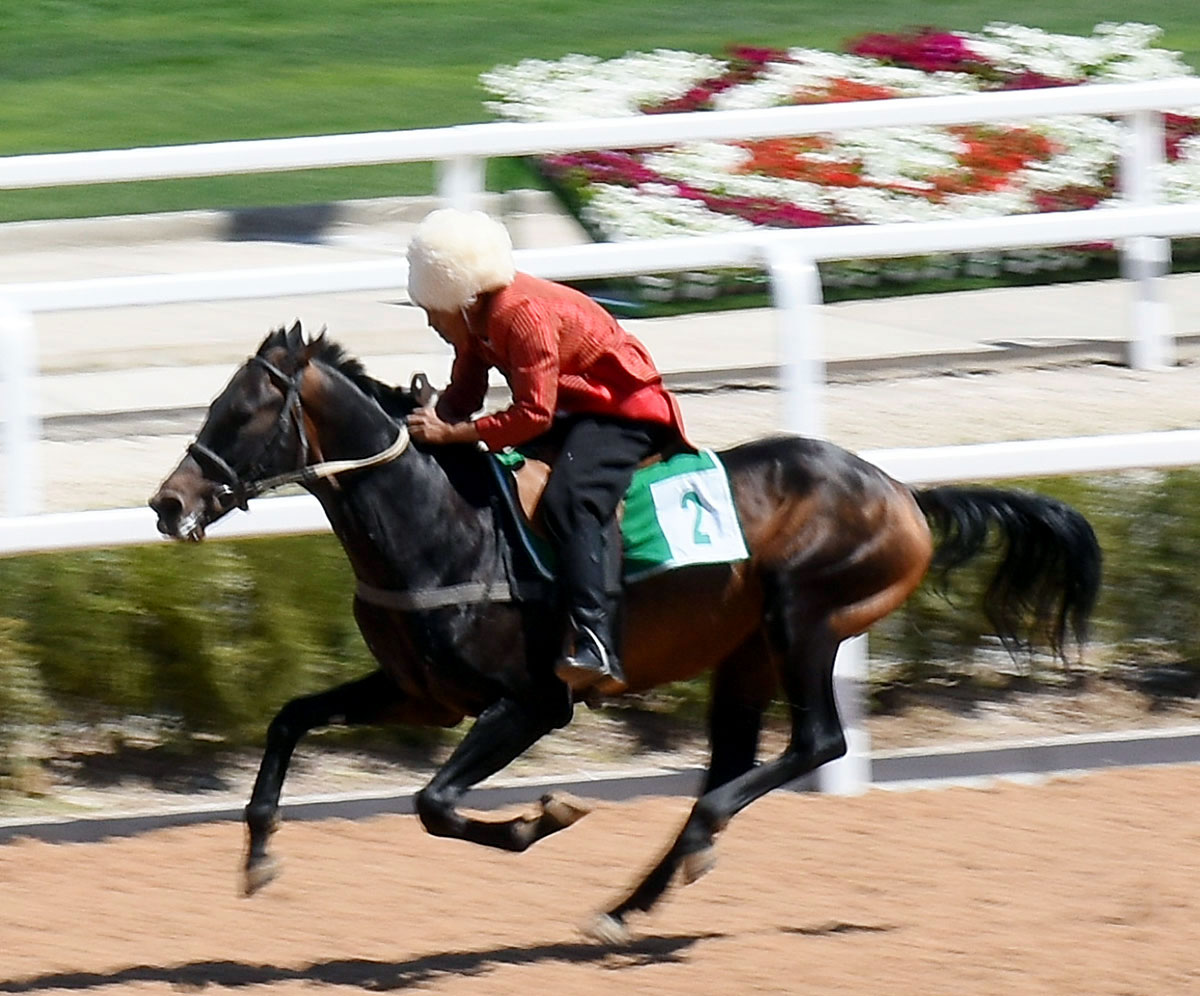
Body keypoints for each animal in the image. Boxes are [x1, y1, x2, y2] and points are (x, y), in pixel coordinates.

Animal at [149, 322, 1101, 942]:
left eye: (243, 412)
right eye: (215, 402)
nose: (167, 502)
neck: (442, 522)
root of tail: (903, 493)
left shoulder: (533, 702)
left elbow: (435, 804)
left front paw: (543, 817)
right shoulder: (423, 694)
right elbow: (289, 719)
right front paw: (258, 854)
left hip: (805, 616)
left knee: (815, 744)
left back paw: (692, 846)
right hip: (745, 654)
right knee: (734, 763)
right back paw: (632, 902)